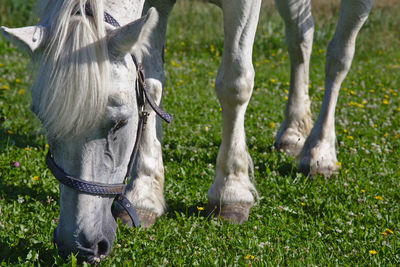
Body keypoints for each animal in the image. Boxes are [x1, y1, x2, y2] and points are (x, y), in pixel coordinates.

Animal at [1, 0, 374, 264]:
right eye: (43, 120)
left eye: (118, 123)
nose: (79, 244)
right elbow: (151, 82)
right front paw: (145, 193)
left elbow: (235, 81)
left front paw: (231, 191)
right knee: (300, 38)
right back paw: (293, 132)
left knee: (339, 55)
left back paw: (319, 152)